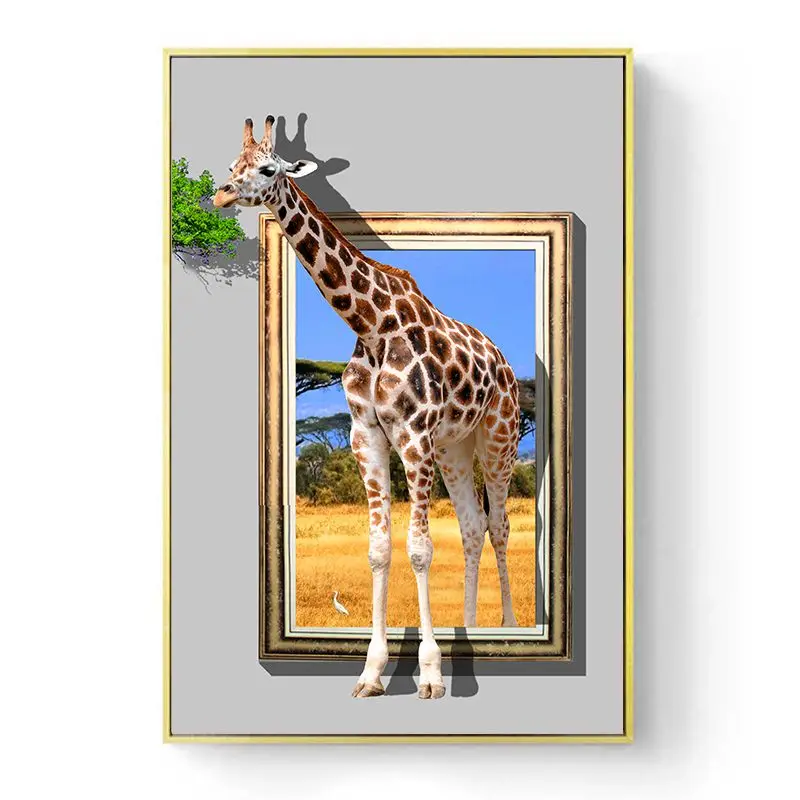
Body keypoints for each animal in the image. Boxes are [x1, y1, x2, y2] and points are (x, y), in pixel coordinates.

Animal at [215, 117, 520, 699]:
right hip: (455, 448)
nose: (219, 194)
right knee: (472, 527)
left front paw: (430, 674)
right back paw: (469, 626)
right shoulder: (367, 436)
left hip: (498, 439)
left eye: (266, 168)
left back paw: (509, 627)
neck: (372, 326)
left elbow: (420, 547)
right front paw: (372, 671)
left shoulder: (414, 436)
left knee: (498, 526)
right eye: (229, 166)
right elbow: (379, 549)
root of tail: (507, 366)